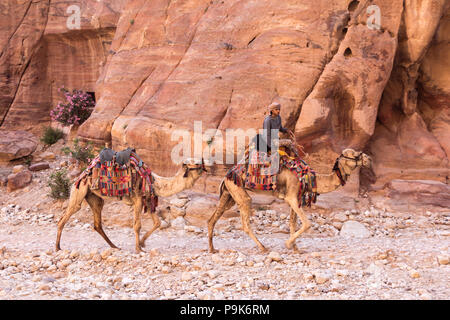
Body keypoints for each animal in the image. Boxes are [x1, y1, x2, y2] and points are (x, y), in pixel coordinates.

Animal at [55, 158, 207, 252]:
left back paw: (115, 246)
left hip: (94, 197)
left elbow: (157, 222)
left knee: (97, 223)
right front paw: (139, 249)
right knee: (64, 217)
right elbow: (137, 225)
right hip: (79, 190)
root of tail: (81, 176)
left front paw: (142, 243)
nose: (206, 167)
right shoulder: (138, 199)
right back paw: (57, 248)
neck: (155, 182)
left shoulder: (147, 200)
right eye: (195, 165)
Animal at [207, 149, 372, 254]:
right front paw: (288, 244)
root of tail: (228, 174)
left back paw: (212, 249)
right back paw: (263, 248)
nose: (369, 159)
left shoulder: (296, 199)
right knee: (245, 221)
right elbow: (307, 223)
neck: (310, 178)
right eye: (355, 154)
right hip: (238, 190)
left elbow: (293, 223)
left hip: (228, 193)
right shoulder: (291, 196)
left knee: (212, 219)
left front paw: (295, 248)